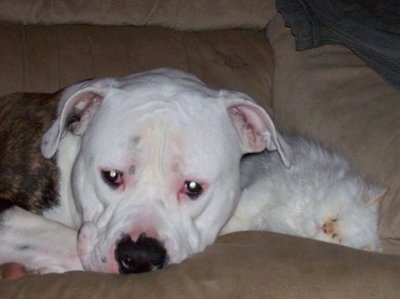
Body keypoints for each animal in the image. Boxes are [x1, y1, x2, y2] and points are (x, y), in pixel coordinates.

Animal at [223, 137, 382, 252]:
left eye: (337, 238)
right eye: (338, 213)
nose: (325, 227)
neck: (299, 214)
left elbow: (240, 222)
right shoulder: (269, 186)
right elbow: (245, 207)